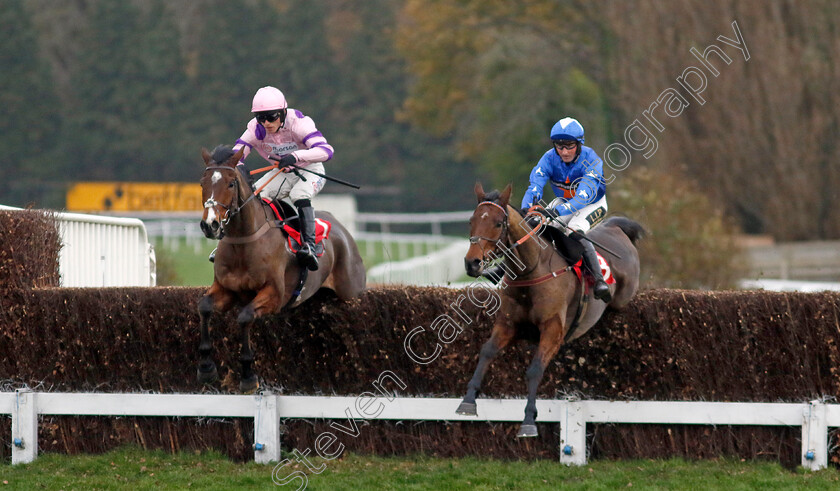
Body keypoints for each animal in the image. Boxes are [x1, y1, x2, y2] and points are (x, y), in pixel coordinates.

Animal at [197, 145, 368, 392]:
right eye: (203, 183)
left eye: (230, 183)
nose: (210, 225)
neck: (244, 242)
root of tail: (340, 228)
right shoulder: (226, 289)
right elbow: (204, 307)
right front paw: (206, 368)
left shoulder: (274, 295)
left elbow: (244, 317)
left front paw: (248, 376)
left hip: (352, 293)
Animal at [456, 184, 640, 438]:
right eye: (471, 221)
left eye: (498, 223)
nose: (472, 263)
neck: (531, 271)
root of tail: (616, 228)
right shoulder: (507, 324)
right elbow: (487, 351)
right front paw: (468, 401)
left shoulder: (553, 330)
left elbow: (534, 370)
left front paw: (528, 421)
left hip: (622, 296)